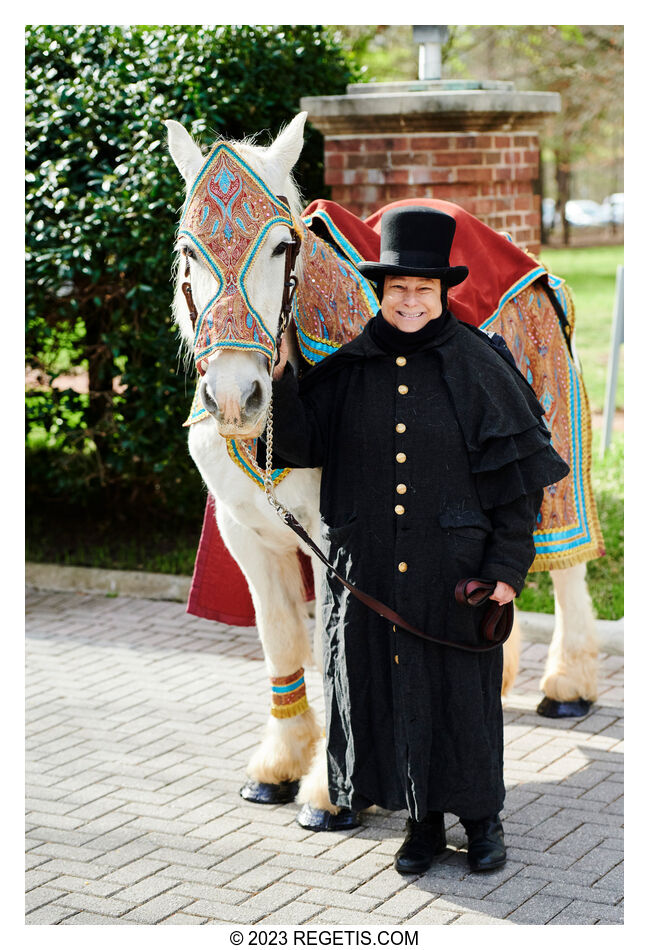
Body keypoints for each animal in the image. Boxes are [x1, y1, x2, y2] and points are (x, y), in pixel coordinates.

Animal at [166, 111, 596, 824]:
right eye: (189, 253)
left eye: (283, 248)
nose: (234, 396)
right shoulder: (245, 532)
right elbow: (280, 639)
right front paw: (279, 765)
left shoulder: (336, 533)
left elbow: (329, 644)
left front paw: (329, 792)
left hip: (555, 445)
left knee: (565, 563)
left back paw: (570, 684)